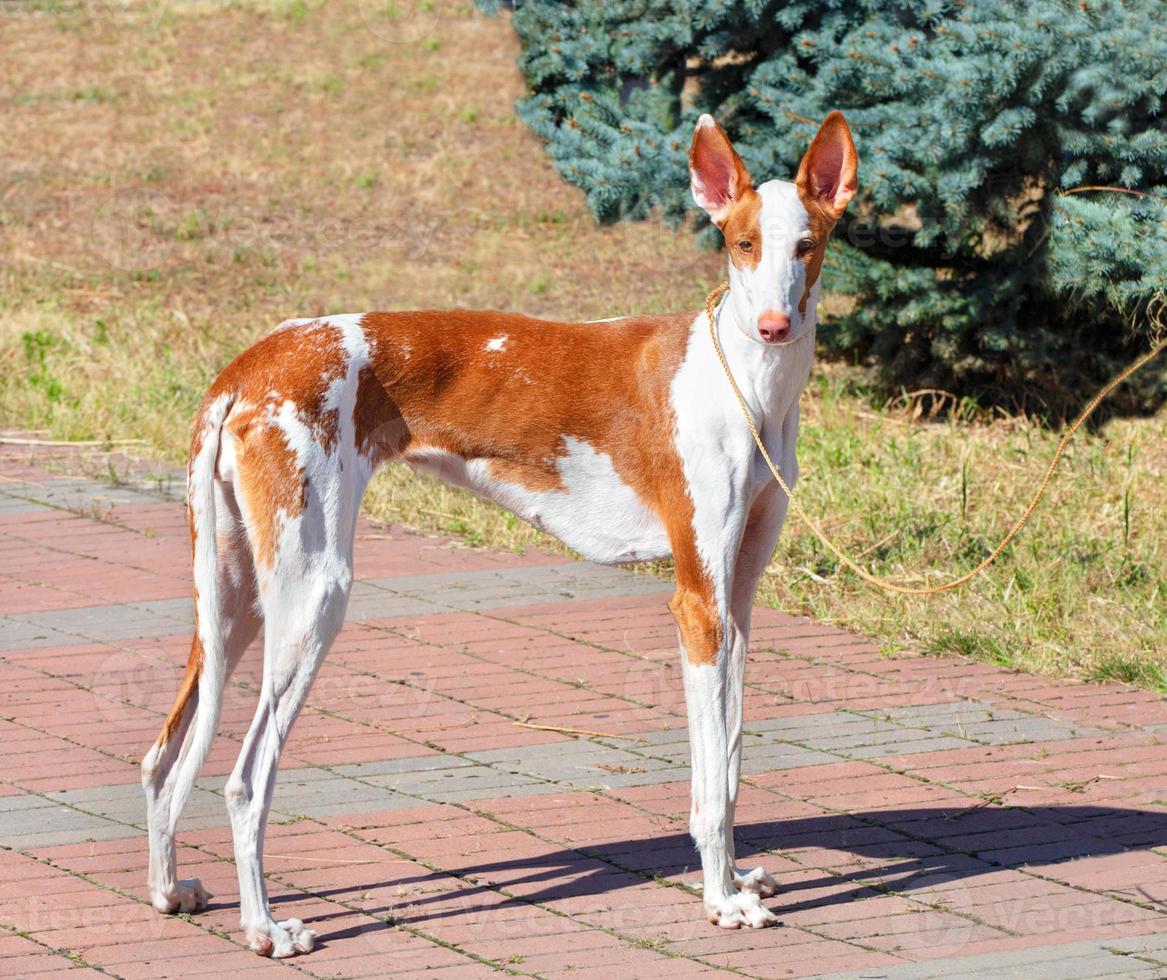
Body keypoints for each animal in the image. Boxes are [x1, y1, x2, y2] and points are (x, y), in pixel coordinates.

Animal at [143, 110, 858, 951]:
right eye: (742, 243)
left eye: (805, 245)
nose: (774, 325)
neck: (745, 383)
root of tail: (247, 368)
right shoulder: (697, 605)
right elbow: (710, 785)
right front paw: (719, 900)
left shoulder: (735, 606)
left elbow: (732, 761)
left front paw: (738, 878)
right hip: (311, 595)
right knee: (246, 779)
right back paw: (264, 927)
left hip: (233, 600)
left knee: (161, 756)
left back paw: (169, 890)